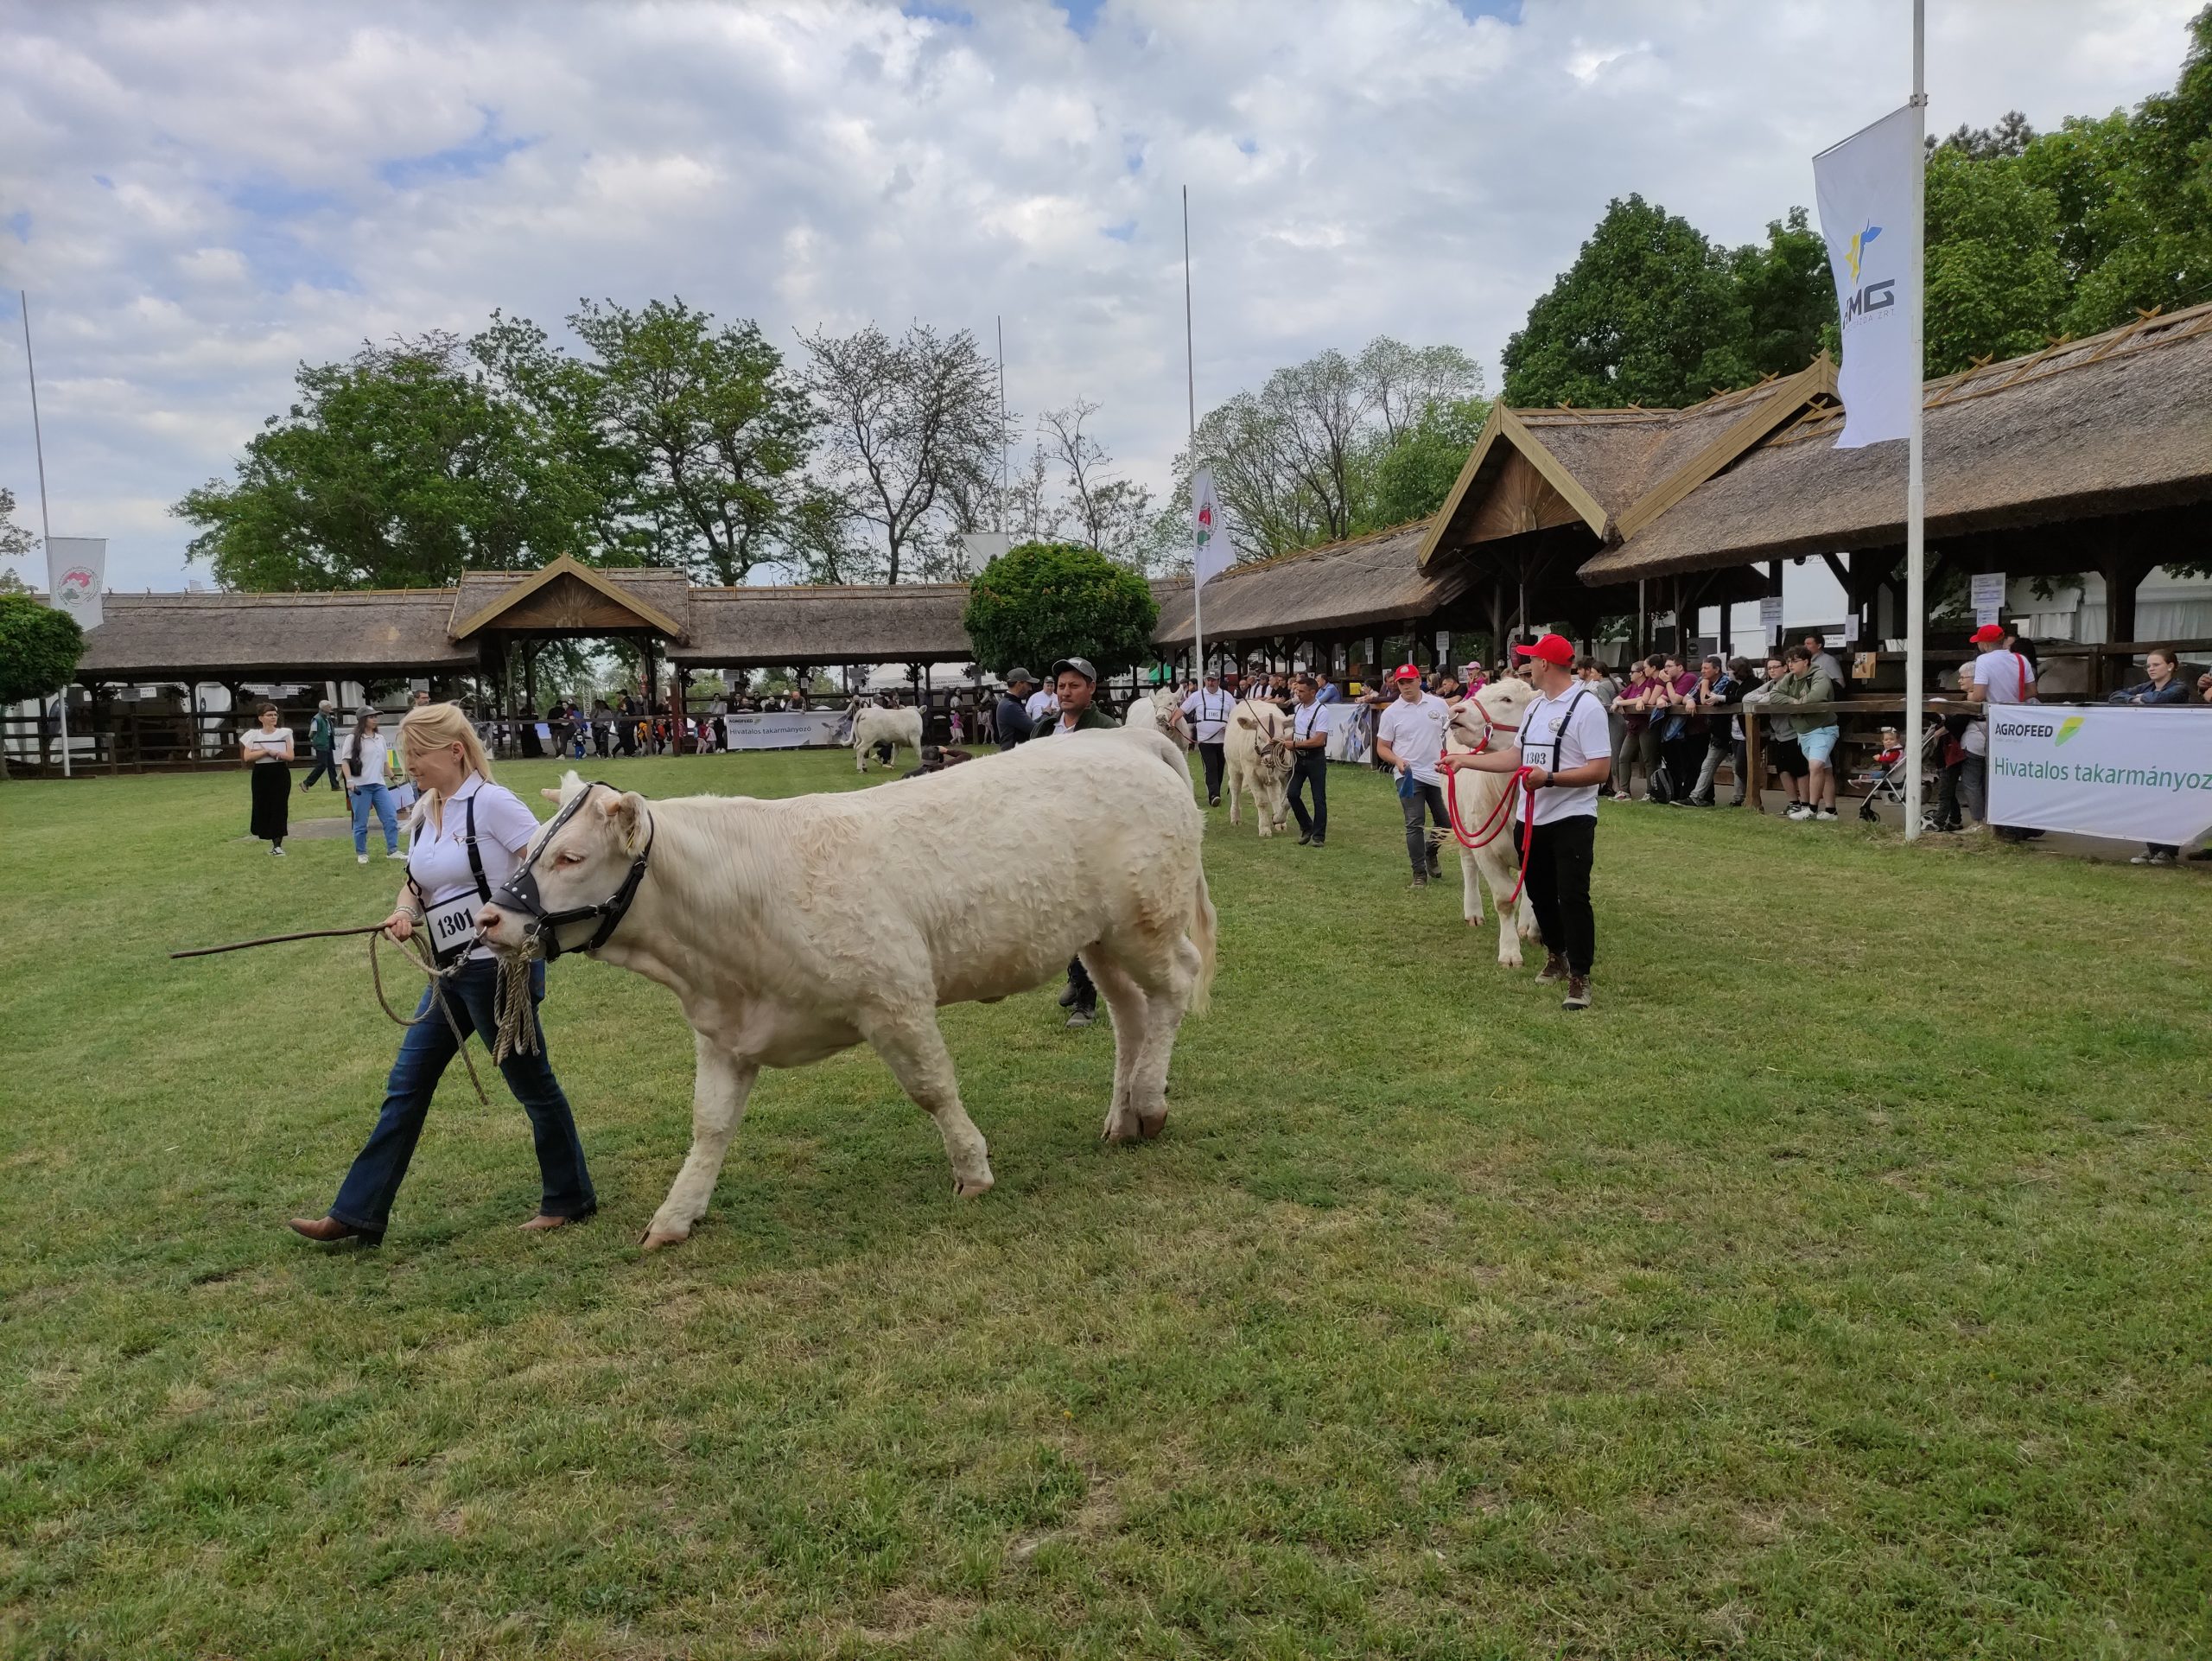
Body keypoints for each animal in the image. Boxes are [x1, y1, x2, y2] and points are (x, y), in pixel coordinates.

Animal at [473, 734, 1221, 1256]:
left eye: (570, 856)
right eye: (529, 847)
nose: (489, 919)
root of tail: (1127, 740)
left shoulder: (894, 996)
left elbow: (933, 1088)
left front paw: (973, 1170)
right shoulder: (723, 1032)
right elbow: (710, 1126)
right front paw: (674, 1217)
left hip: (1145, 922)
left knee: (1176, 987)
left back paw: (1150, 1102)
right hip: (1099, 939)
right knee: (1130, 1013)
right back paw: (1123, 1116)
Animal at [1221, 694, 1292, 836]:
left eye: (1282, 737)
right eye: (1259, 737)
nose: (1270, 759)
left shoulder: (1283, 774)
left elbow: (1281, 799)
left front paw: (1279, 821)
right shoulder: (1251, 774)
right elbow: (1261, 801)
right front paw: (1264, 828)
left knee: (1274, 793)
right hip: (1233, 766)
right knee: (1235, 788)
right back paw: (1235, 818)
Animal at [1433, 677, 1539, 968]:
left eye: (1506, 699)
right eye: (1480, 692)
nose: (1456, 711)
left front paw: (1532, 929)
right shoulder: (1486, 851)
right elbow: (1504, 900)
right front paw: (1510, 952)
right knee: (1469, 867)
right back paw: (1473, 912)